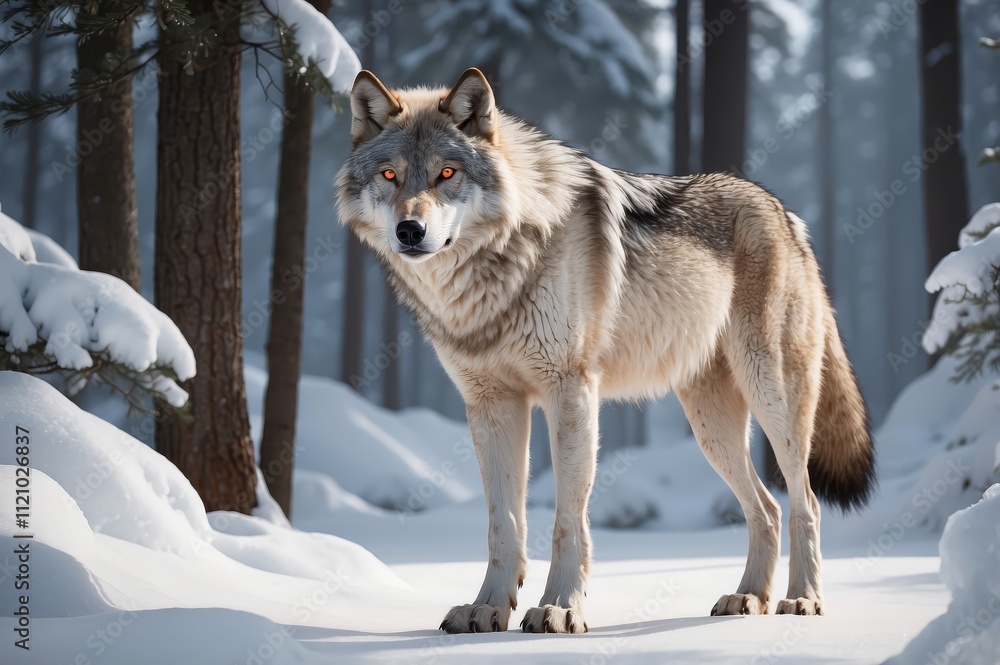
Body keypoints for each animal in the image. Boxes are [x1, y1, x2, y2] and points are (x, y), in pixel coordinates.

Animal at [336, 68, 875, 634]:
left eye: (446, 173)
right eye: (390, 176)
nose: (410, 230)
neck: (501, 266)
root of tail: (786, 213)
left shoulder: (570, 391)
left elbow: (566, 520)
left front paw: (559, 608)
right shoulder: (491, 404)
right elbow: (503, 524)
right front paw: (487, 607)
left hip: (772, 399)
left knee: (805, 501)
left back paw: (803, 599)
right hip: (711, 427)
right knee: (766, 508)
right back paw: (747, 597)